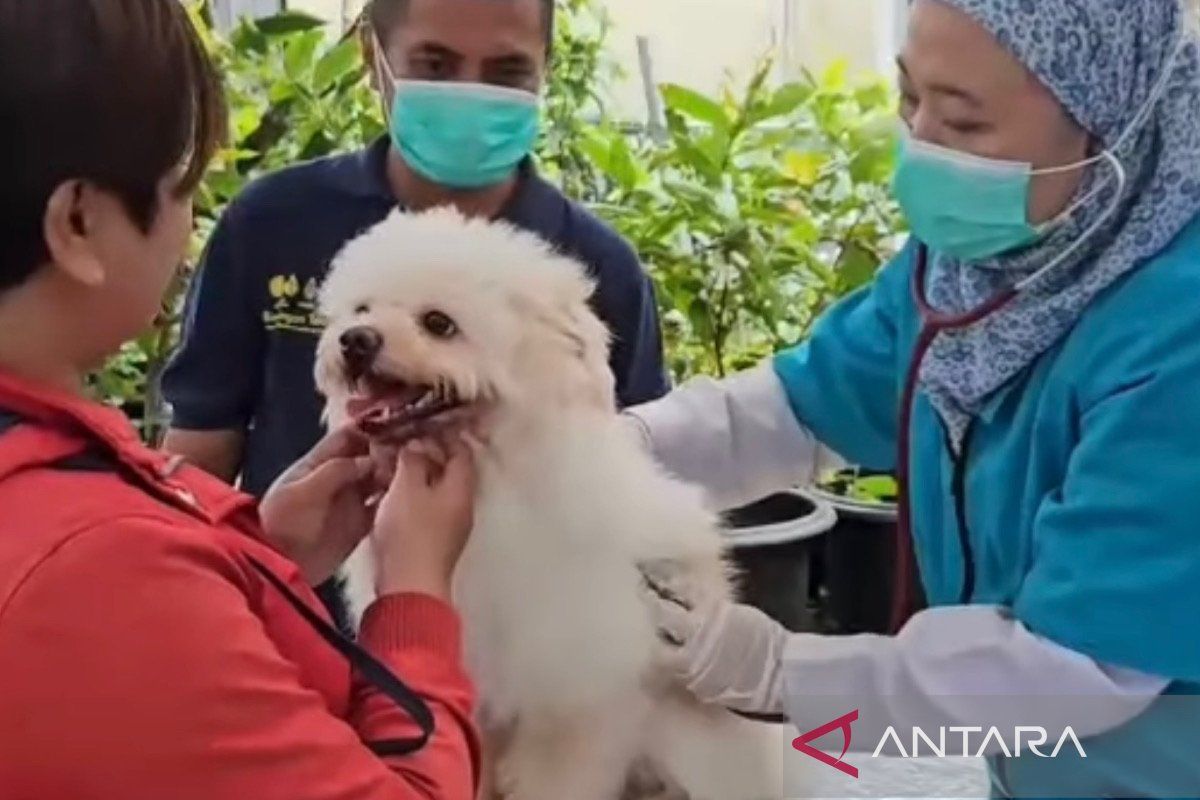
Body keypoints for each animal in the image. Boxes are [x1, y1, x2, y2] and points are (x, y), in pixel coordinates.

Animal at [314, 209, 782, 800]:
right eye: (362, 309)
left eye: (439, 323)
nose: (354, 340)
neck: (499, 488)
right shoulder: (485, 693)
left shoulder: (572, 704)